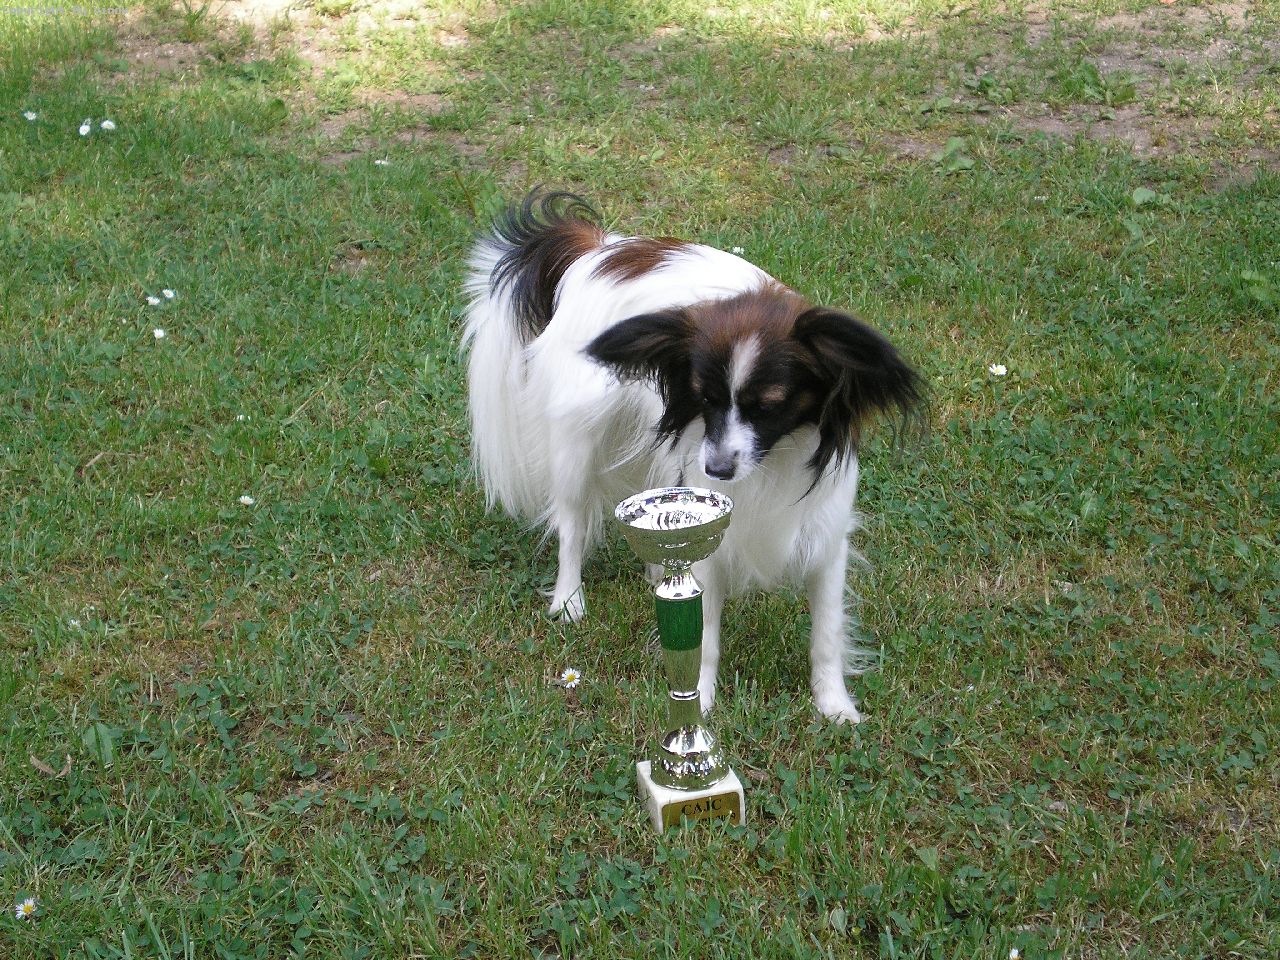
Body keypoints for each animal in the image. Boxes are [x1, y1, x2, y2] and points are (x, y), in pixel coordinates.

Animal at [462, 191, 922, 722]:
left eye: (770, 406)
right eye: (705, 400)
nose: (717, 469)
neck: (774, 461)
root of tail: (600, 250)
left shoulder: (826, 536)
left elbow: (826, 633)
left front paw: (834, 706)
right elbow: (703, 638)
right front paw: (698, 705)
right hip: (577, 446)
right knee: (572, 526)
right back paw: (569, 599)